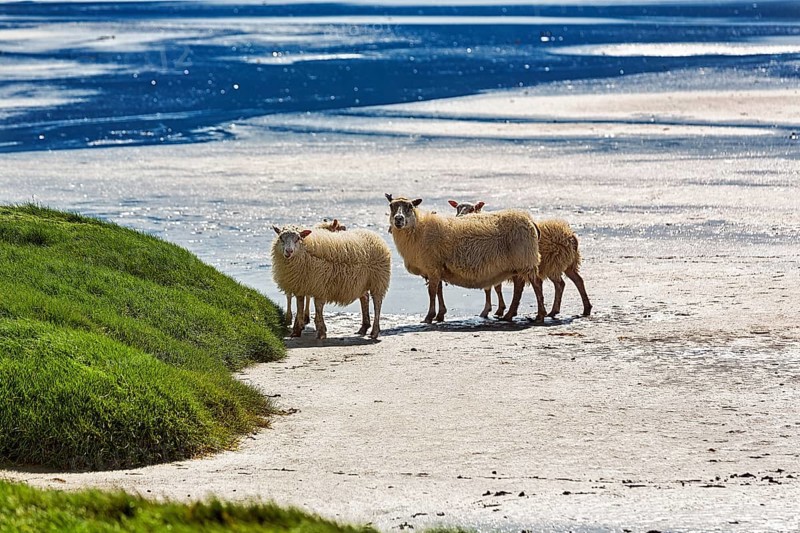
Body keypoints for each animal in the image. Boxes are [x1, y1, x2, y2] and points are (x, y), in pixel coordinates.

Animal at [386, 194, 546, 323]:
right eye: (391, 206)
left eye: (410, 206)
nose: (398, 219)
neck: (419, 230)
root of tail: (530, 221)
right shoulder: (437, 267)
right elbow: (438, 290)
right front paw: (440, 315)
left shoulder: (432, 266)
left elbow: (432, 292)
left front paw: (429, 317)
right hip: (518, 264)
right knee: (519, 288)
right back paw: (509, 315)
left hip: (525, 259)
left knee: (536, 284)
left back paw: (539, 316)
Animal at [449, 199, 592, 318]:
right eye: (457, 208)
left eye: (472, 209)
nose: (459, 218)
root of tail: (570, 235)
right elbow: (495, 287)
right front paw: (498, 309)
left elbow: (491, 288)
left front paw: (490, 310)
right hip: (568, 264)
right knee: (578, 281)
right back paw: (585, 308)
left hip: (552, 263)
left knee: (559, 284)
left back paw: (552, 311)